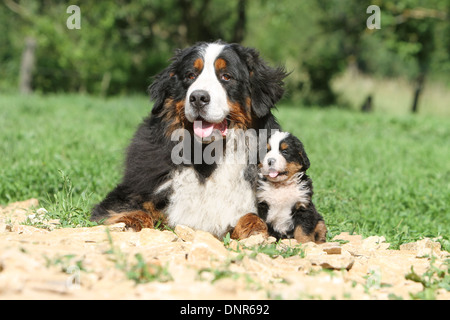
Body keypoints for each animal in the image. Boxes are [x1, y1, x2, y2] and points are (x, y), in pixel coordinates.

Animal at [91, 40, 288, 240]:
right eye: (190, 75)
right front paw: (130, 223)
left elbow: (253, 216)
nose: (198, 97)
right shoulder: (131, 191)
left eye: (226, 76)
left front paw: (253, 230)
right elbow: (134, 209)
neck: (207, 158)